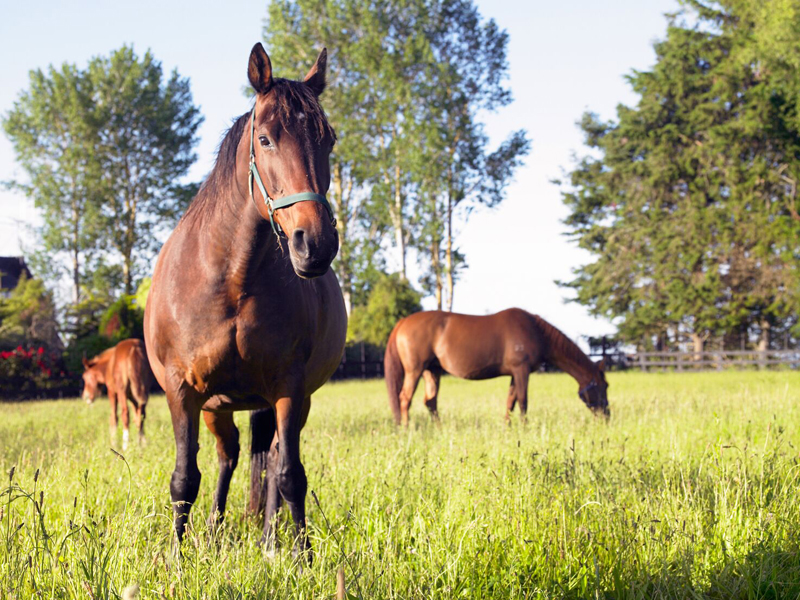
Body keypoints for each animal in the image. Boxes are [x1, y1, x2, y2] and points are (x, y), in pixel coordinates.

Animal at [143, 43, 346, 559]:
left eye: (329, 141)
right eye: (266, 139)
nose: (315, 244)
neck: (230, 279)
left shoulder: (289, 389)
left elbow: (291, 475)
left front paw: (302, 556)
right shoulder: (183, 392)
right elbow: (183, 479)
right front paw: (176, 558)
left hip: (285, 402)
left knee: (271, 460)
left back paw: (271, 538)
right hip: (216, 407)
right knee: (228, 456)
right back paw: (215, 528)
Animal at [384, 308, 609, 425]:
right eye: (604, 386)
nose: (607, 416)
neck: (536, 331)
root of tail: (402, 323)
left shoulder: (514, 374)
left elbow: (511, 401)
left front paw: (508, 426)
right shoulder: (521, 370)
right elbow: (523, 401)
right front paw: (524, 427)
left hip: (432, 371)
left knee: (430, 401)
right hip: (415, 371)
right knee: (405, 398)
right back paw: (406, 428)